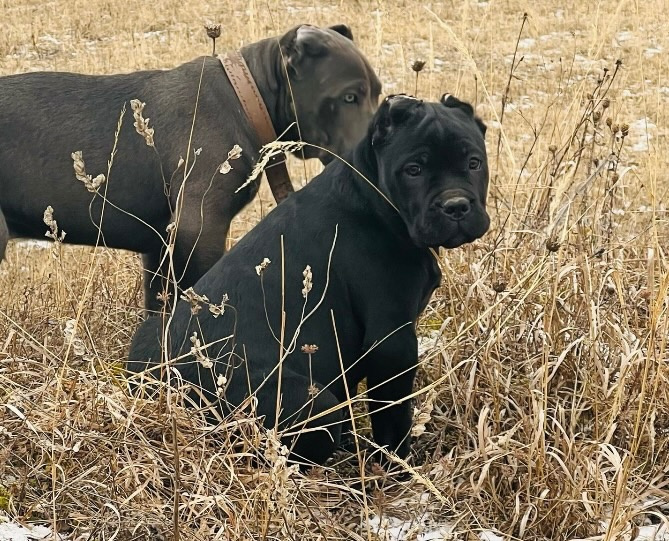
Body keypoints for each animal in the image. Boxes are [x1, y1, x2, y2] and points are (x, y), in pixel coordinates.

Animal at [126, 93, 490, 464]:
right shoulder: (392, 341)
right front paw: (396, 464)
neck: (375, 197)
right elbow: (392, 414)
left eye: (474, 163)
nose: (456, 206)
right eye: (413, 170)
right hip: (313, 406)